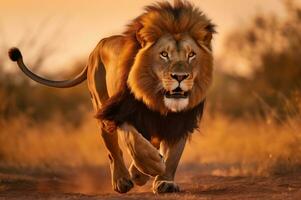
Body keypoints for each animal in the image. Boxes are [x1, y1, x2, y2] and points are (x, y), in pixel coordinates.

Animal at [8, 0, 214, 194]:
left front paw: (164, 181)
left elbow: (174, 154)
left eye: (191, 55)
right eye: (164, 54)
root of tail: (97, 47)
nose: (180, 77)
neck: (156, 100)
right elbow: (134, 141)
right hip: (100, 105)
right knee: (112, 148)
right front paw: (150, 167)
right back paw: (122, 180)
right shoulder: (120, 111)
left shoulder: (182, 120)